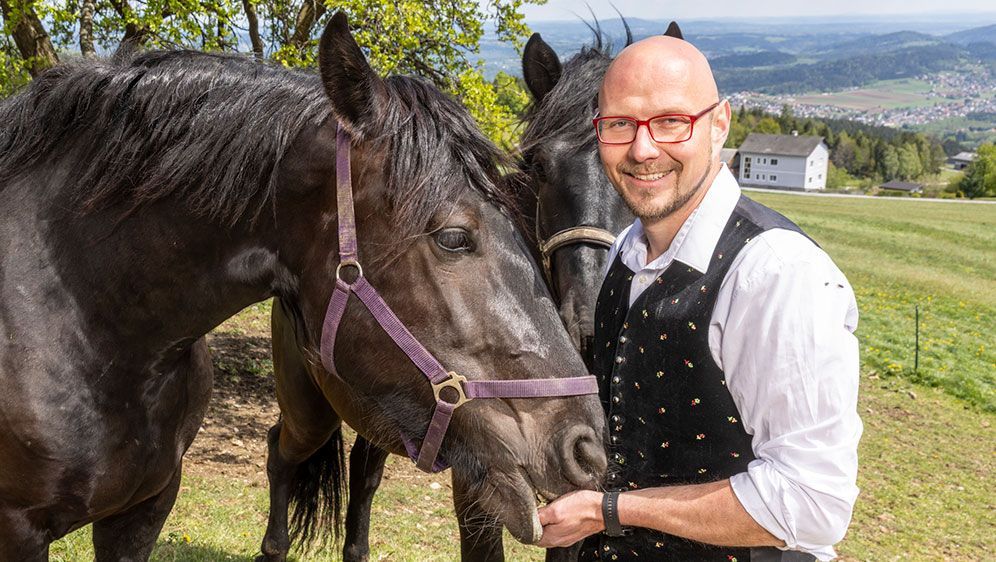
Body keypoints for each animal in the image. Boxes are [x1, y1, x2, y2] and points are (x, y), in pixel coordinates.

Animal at [255, 19, 684, 560]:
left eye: (648, 166)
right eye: (538, 165)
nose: (586, 320)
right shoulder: (480, 483)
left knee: (364, 475)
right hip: (310, 412)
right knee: (281, 452)